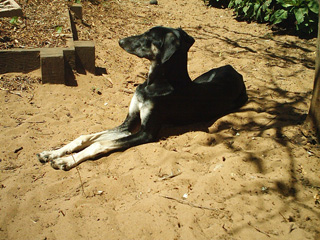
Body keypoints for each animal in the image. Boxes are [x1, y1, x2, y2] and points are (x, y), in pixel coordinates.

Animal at [37, 26, 248, 171]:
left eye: (148, 37)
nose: (120, 40)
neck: (153, 84)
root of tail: (234, 70)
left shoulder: (146, 133)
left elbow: (98, 144)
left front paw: (66, 160)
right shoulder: (129, 124)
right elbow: (85, 137)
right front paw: (52, 152)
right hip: (205, 75)